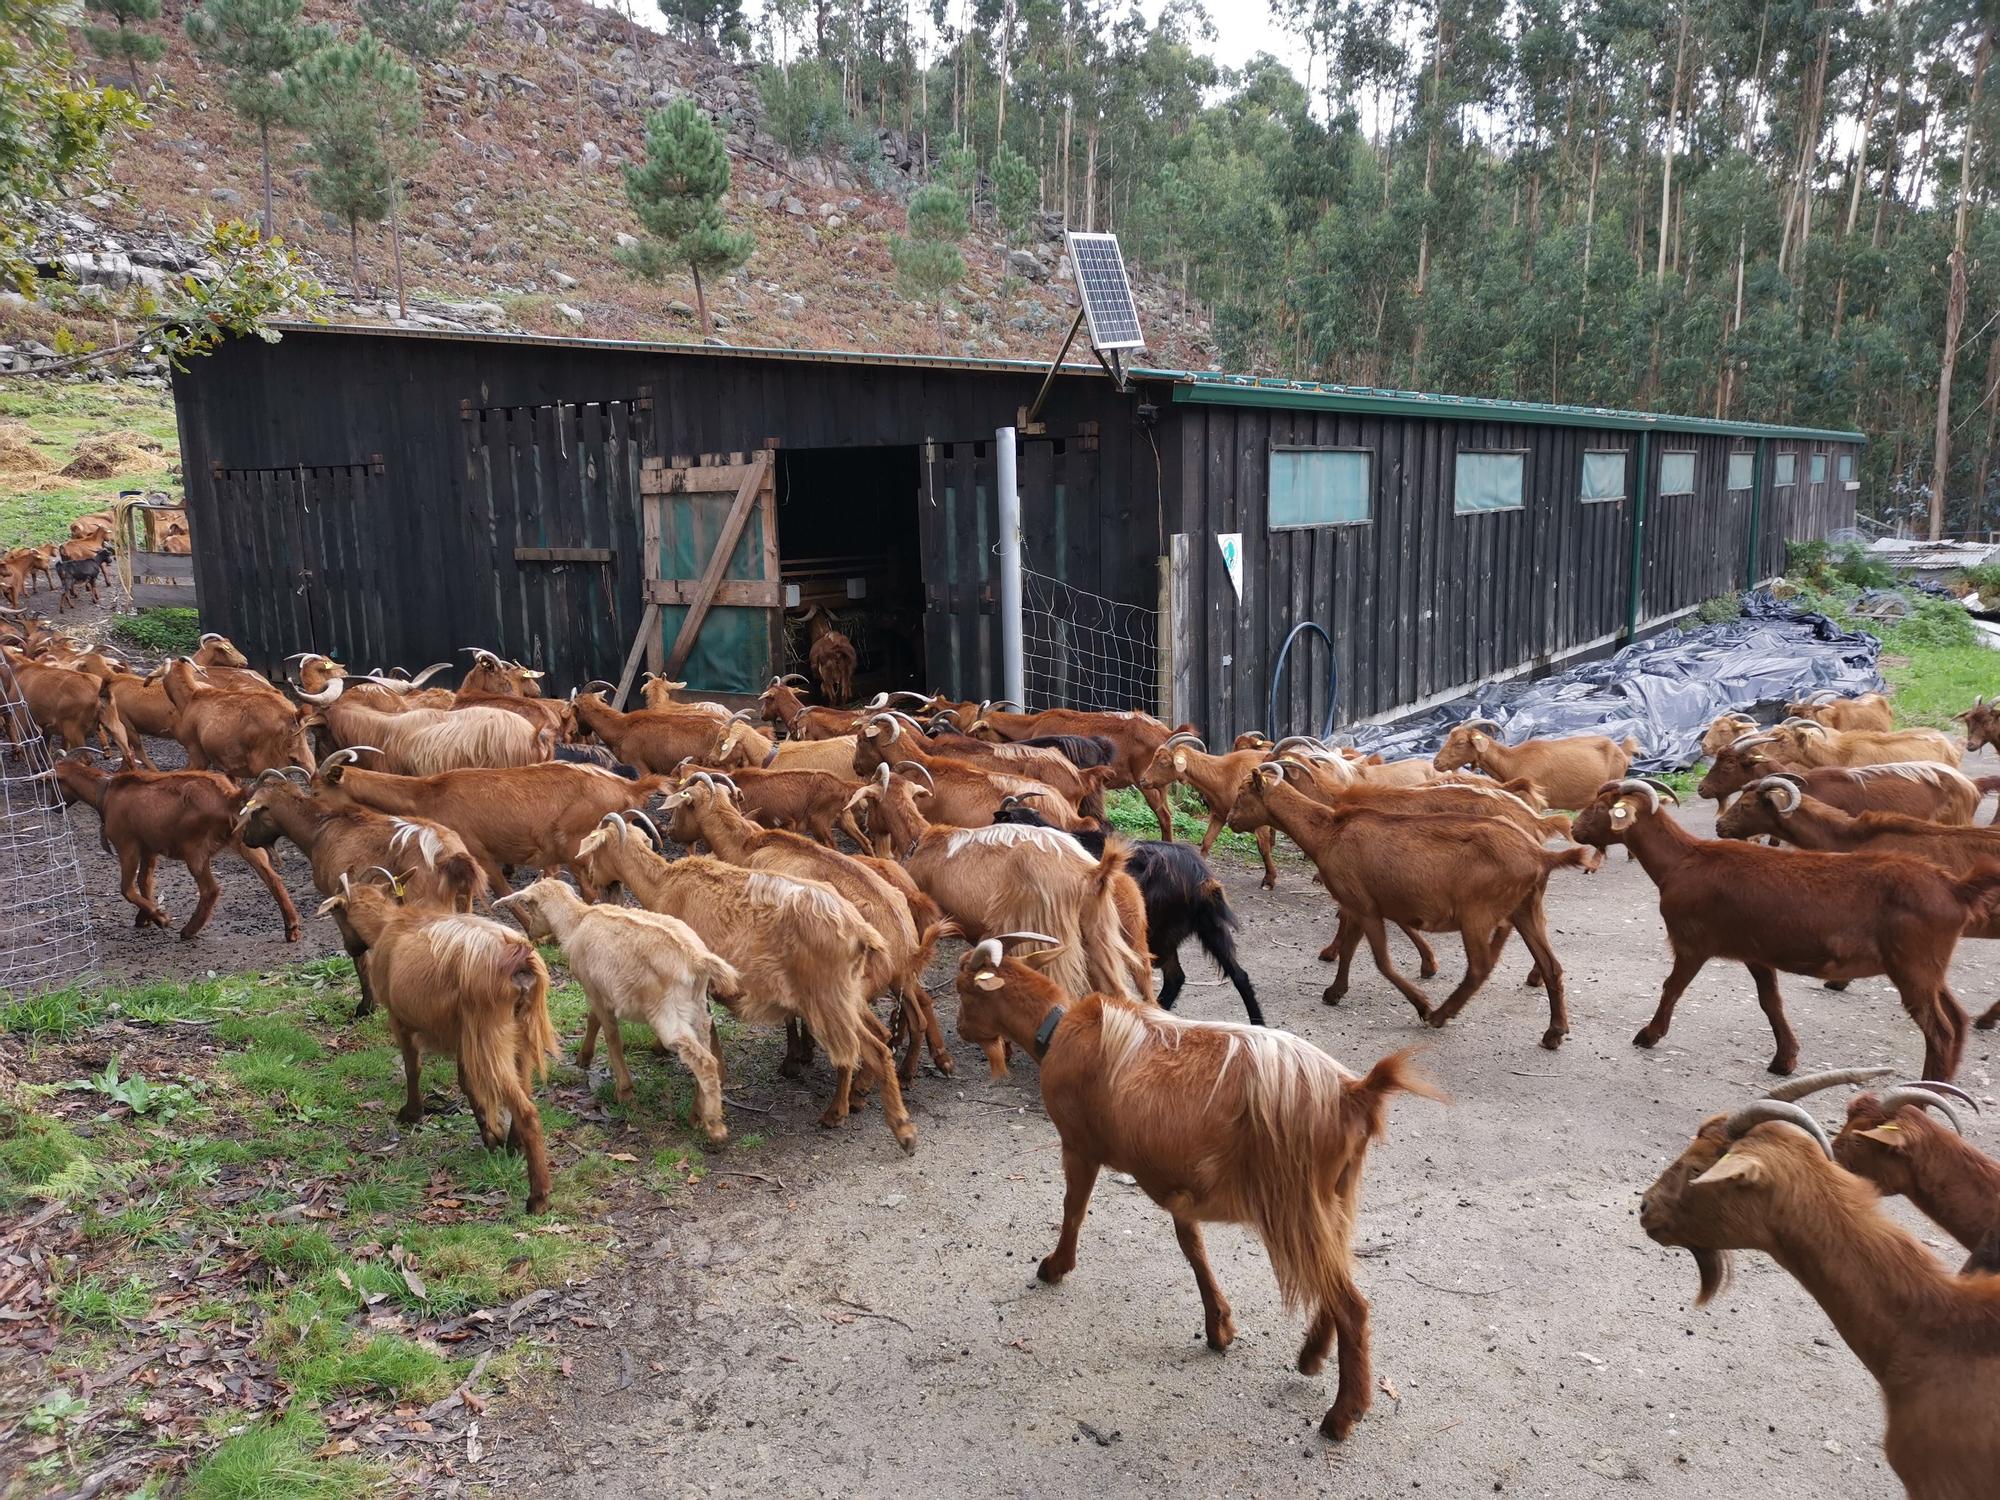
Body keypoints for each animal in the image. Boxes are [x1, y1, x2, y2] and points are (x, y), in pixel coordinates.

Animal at [322, 888, 560, 1216]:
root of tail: (519, 957)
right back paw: (515, 1146)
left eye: (338, 916)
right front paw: (493, 1135)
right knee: (524, 1089)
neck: (391, 925)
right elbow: (466, 1083)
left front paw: (412, 1113)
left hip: (490, 1035)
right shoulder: (462, 1034)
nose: (351, 950)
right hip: (520, 1031)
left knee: (527, 1111)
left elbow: (414, 1069)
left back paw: (538, 1198)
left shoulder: (400, 1021)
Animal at [952, 940, 1440, 1448]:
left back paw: (1343, 1414)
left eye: (964, 989)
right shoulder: (1177, 1184)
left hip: (1297, 1204)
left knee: (1352, 1305)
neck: (1060, 1027)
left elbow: (1073, 1210)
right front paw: (1219, 1326)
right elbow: (1194, 1249)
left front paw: (1054, 1267)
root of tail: (1355, 1092)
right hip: (1334, 1198)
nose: (960, 1028)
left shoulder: (1079, 1146)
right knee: (1334, 1275)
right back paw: (1311, 1356)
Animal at [1576, 776, 2000, 1080]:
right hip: (1926, 967)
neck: (1684, 860)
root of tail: (1956, 887)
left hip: (1913, 966)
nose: (1576, 831)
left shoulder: (1692, 942)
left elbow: (1672, 988)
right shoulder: (1755, 951)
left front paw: (1648, 1035)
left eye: (1600, 807)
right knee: (1956, 1019)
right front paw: (1785, 1060)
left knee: (1940, 1031)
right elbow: (1771, 1003)